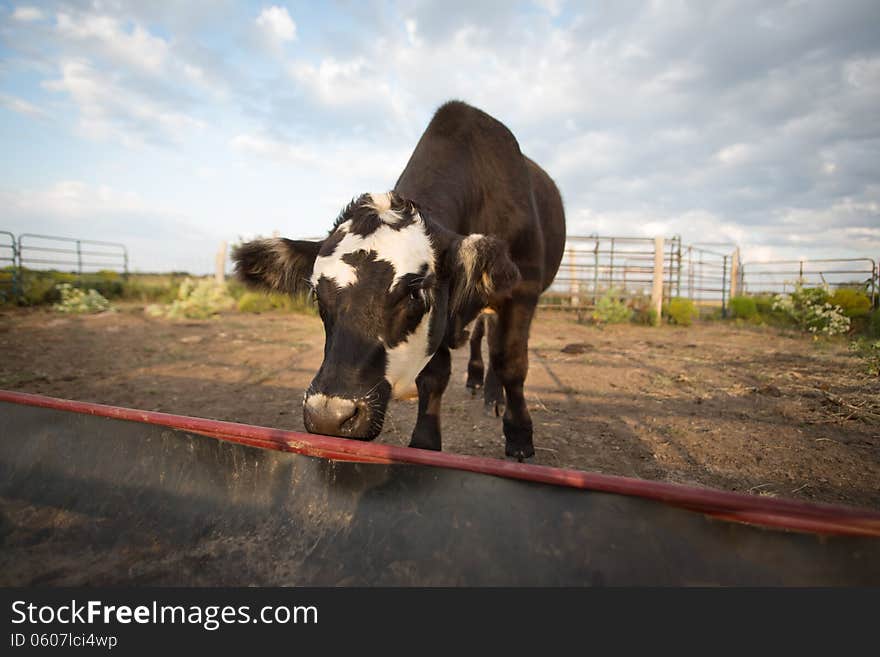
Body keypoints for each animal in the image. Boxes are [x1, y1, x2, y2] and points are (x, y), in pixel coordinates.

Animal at [232, 100, 564, 458]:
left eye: (415, 294)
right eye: (318, 295)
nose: (329, 416)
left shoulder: (523, 290)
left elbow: (512, 365)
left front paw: (520, 436)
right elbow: (434, 376)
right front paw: (425, 443)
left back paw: (493, 396)